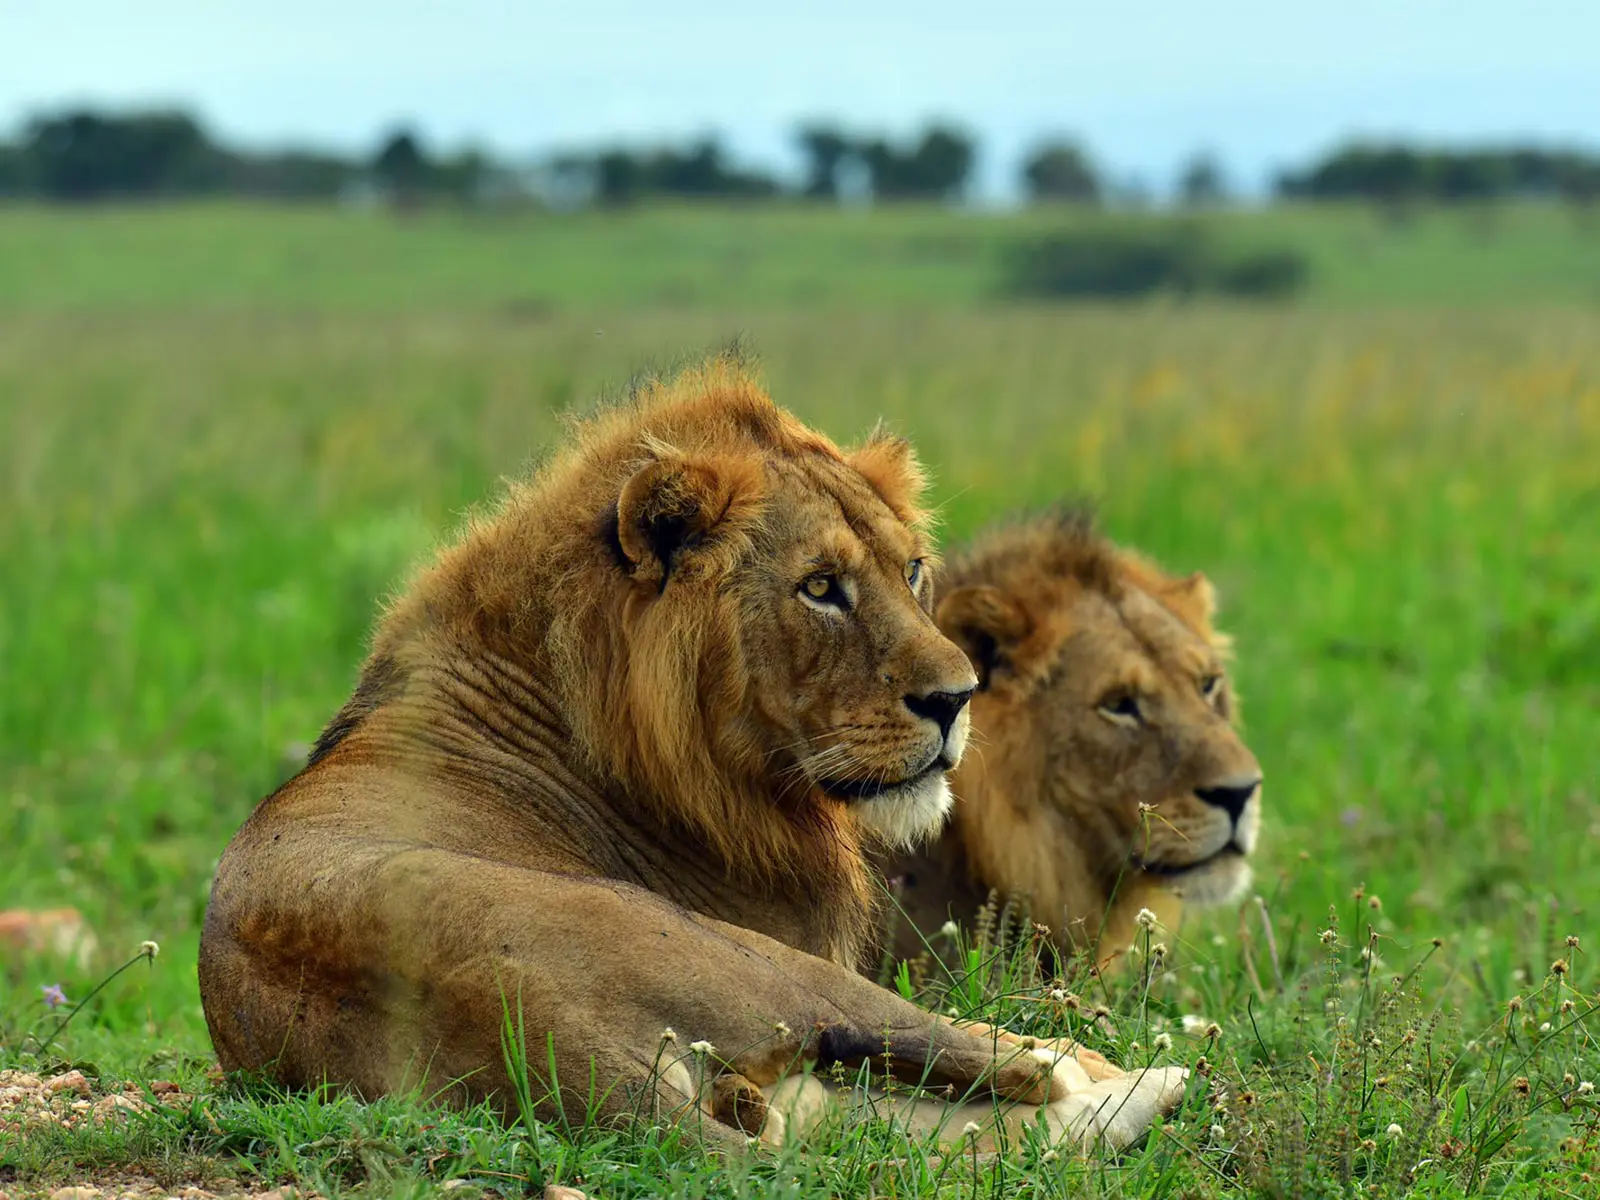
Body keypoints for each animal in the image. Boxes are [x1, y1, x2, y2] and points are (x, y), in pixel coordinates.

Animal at [198, 361, 1186, 1154]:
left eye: (910, 571)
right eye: (820, 588)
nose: (957, 697)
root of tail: (542, 1035)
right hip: (746, 962)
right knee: (1005, 1068)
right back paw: (1139, 1082)